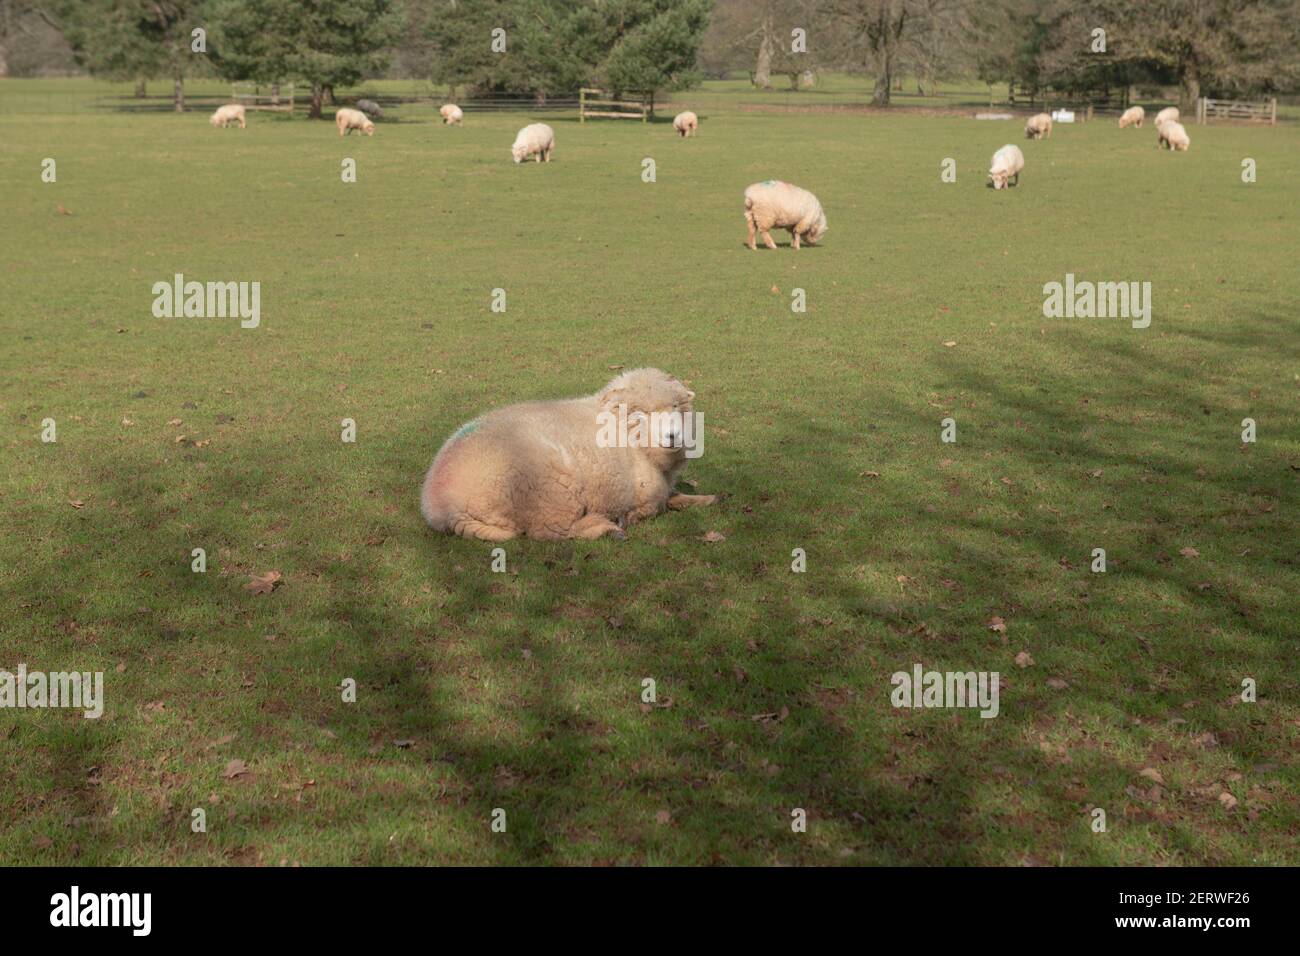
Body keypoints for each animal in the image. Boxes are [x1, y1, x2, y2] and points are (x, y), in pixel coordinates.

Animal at [423, 369, 712, 541]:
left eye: (675, 406)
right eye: (640, 414)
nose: (673, 436)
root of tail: (440, 504)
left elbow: (675, 496)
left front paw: (705, 498)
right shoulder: (644, 496)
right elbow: (656, 506)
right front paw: (628, 517)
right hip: (551, 494)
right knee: (554, 531)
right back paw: (606, 527)